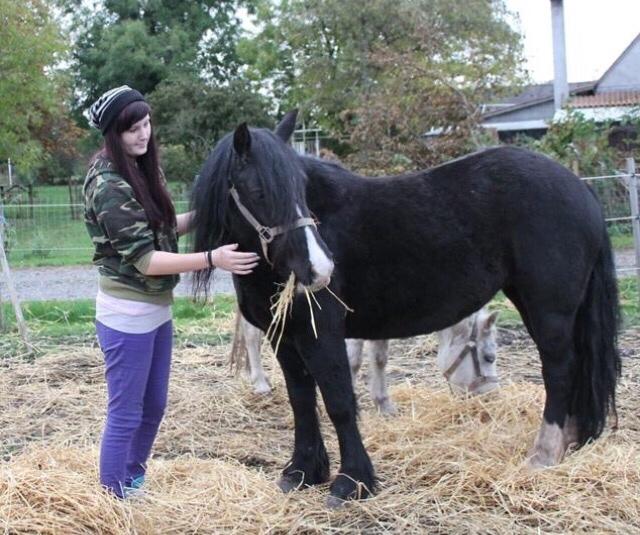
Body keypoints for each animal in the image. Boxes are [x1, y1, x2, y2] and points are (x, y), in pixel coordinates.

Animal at [191, 112, 620, 506]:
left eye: (301, 189)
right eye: (259, 191)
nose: (320, 269)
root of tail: (580, 188)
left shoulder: (322, 333)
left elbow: (339, 401)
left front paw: (352, 482)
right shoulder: (284, 337)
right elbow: (302, 401)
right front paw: (302, 472)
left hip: (550, 311)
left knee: (560, 370)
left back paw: (544, 454)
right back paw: (568, 442)